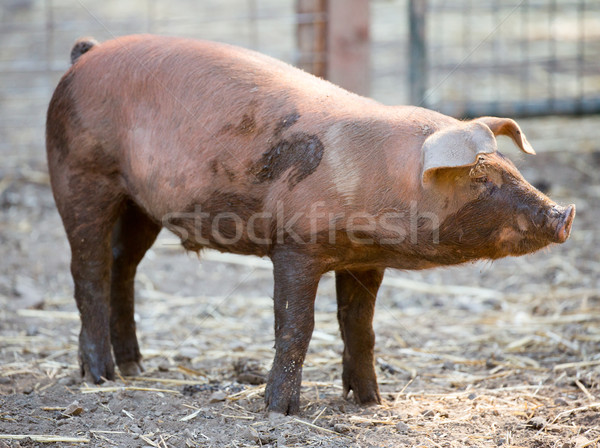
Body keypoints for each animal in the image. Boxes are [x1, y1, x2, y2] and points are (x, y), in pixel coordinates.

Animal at [44, 34, 576, 412]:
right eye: (480, 176)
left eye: (511, 166)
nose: (565, 214)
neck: (379, 178)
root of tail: (86, 55)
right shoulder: (295, 247)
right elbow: (297, 324)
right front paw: (280, 411)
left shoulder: (365, 261)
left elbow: (360, 327)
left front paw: (372, 402)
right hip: (80, 173)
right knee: (87, 268)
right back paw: (102, 376)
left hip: (140, 205)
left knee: (123, 266)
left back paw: (135, 367)